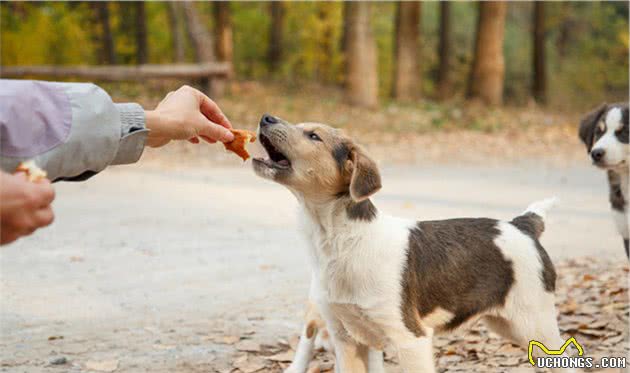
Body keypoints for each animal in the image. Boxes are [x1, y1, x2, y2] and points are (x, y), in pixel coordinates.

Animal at [254, 114, 576, 372]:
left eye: (313, 136)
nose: (266, 117)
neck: (343, 242)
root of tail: (523, 224)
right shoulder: (347, 340)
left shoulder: (411, 339)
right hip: (508, 325)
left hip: (534, 323)